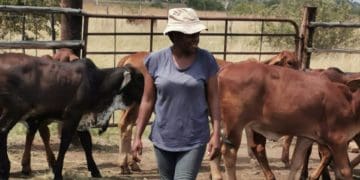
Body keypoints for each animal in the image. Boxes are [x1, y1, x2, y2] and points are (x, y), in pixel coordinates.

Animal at [0, 52, 143, 179]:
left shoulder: (82, 119)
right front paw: (58, 173)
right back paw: (6, 168)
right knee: (3, 131)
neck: (96, 81)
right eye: (138, 80)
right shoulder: (73, 115)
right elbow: (65, 143)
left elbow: (87, 143)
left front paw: (95, 171)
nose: (142, 99)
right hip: (14, 111)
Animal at [211, 60, 360, 180]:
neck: (350, 101)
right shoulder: (338, 141)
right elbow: (344, 171)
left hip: (221, 123)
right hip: (234, 125)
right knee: (229, 153)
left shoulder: (306, 138)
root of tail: (225, 69)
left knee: (213, 147)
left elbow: (296, 163)